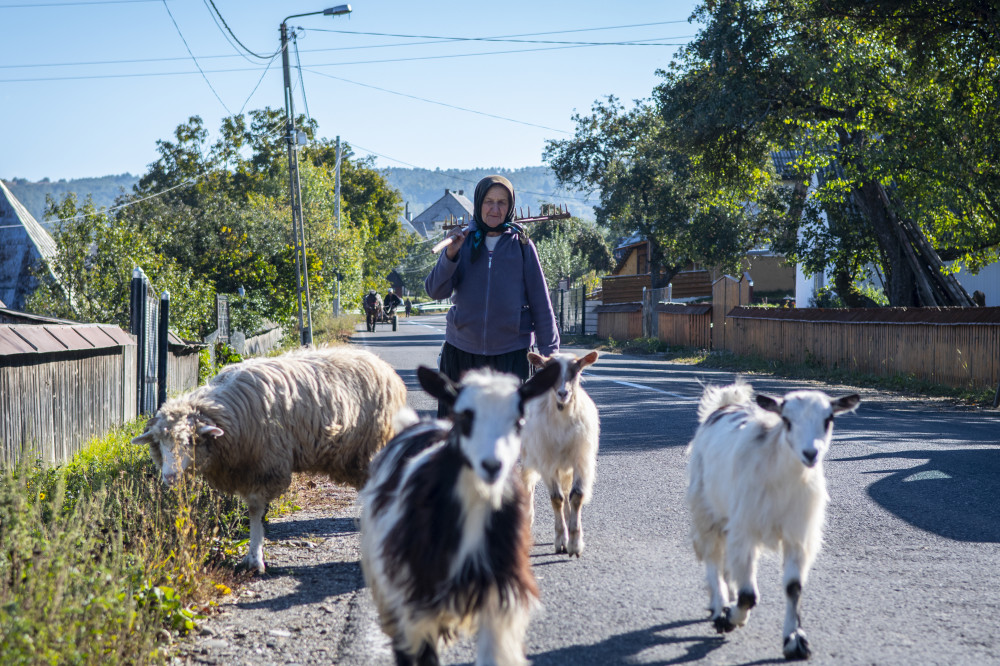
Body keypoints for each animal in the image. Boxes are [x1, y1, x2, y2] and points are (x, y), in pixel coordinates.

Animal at [132, 342, 406, 572]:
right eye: (159, 443)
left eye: (190, 440)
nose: (169, 477)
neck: (229, 412)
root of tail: (381, 365)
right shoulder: (244, 468)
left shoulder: (265, 464)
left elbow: (255, 510)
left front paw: (255, 559)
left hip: (372, 446)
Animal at [520, 348, 596, 556]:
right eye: (549, 370)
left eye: (576, 370)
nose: (563, 393)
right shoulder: (548, 463)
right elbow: (557, 499)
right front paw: (561, 541)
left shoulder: (580, 460)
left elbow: (576, 496)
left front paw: (575, 543)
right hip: (526, 457)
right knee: (527, 485)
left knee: (567, 490)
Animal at [688, 382, 860, 656]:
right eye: (787, 420)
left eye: (828, 419)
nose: (810, 453)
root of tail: (724, 404)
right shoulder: (745, 529)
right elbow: (749, 595)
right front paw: (730, 618)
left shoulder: (797, 534)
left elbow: (793, 587)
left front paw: (794, 640)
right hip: (705, 505)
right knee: (712, 554)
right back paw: (719, 606)